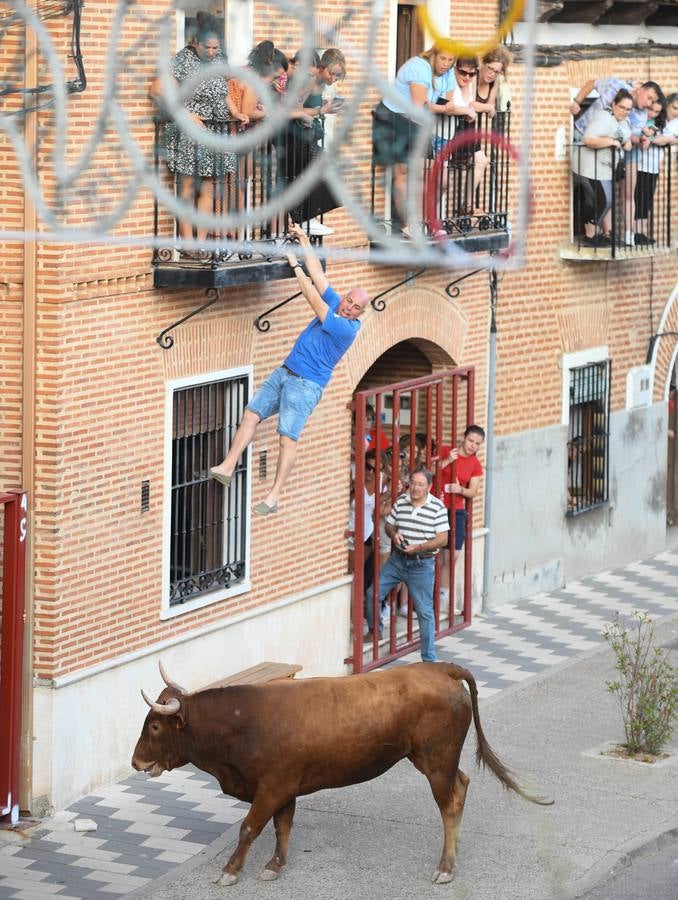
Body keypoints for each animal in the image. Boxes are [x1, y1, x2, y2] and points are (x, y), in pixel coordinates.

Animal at [133, 660, 552, 884]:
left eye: (154, 726)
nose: (136, 762)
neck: (241, 723)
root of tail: (439, 669)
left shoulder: (272, 787)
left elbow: (250, 828)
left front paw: (230, 872)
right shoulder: (285, 788)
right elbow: (282, 826)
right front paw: (275, 866)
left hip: (436, 761)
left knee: (448, 803)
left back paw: (445, 867)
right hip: (432, 759)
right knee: (461, 787)